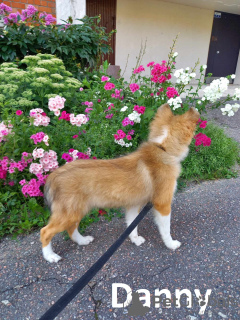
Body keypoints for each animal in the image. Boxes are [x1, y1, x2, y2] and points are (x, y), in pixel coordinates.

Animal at [40, 105, 199, 262]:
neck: (163, 148)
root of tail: (54, 176)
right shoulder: (162, 203)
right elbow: (166, 228)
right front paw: (171, 244)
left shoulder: (134, 204)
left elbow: (132, 224)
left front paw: (135, 240)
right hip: (69, 213)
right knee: (45, 232)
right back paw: (50, 256)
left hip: (77, 210)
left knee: (71, 229)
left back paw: (83, 240)